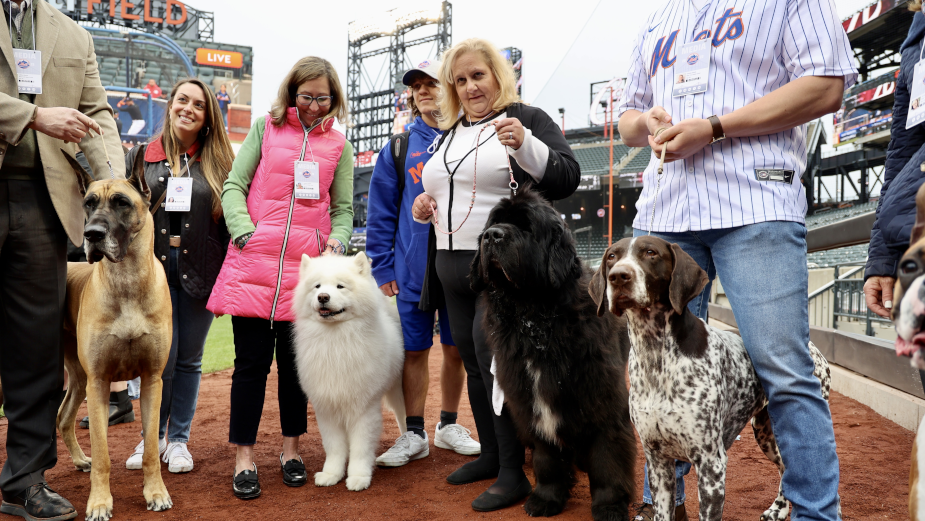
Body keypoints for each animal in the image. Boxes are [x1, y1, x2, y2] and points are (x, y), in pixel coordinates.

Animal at [290, 254, 402, 490]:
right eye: (317, 286)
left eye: (340, 286)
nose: (323, 297)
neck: (335, 339)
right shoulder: (326, 408)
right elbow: (334, 447)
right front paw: (331, 474)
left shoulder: (363, 408)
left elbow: (360, 447)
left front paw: (358, 477)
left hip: (398, 390)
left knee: (404, 417)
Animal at [470, 189, 636, 520]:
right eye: (493, 223)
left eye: (526, 227)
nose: (493, 236)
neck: (534, 318)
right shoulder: (528, 400)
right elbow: (546, 458)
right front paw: (546, 498)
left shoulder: (603, 399)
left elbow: (608, 457)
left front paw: (610, 505)